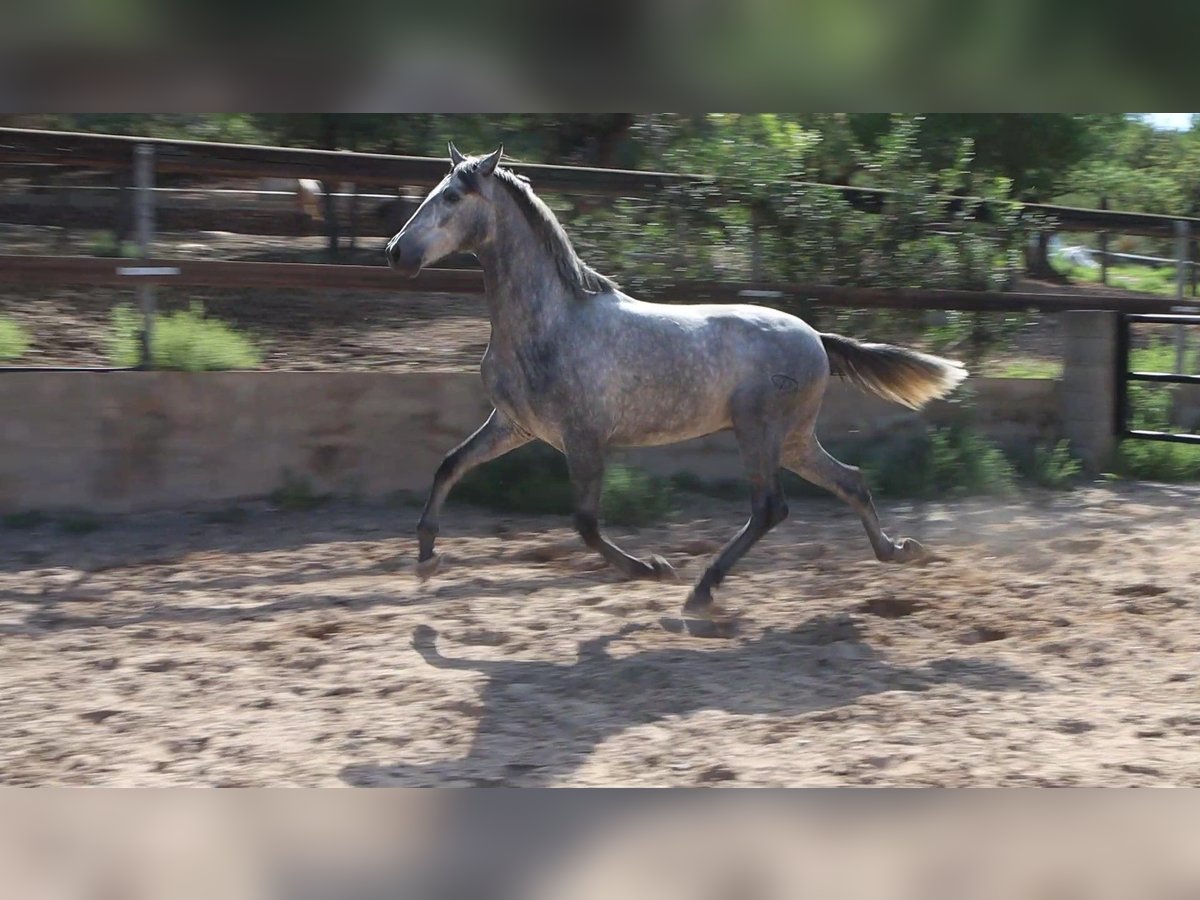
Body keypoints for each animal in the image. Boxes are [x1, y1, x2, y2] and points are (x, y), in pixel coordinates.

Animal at [388, 146, 969, 628]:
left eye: (453, 196)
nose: (395, 252)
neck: (549, 323)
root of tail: (815, 337)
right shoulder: (515, 425)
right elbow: (449, 465)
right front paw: (427, 558)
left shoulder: (584, 437)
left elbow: (586, 524)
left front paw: (653, 568)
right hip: (794, 438)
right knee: (850, 480)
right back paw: (899, 550)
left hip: (758, 430)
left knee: (771, 507)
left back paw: (700, 592)